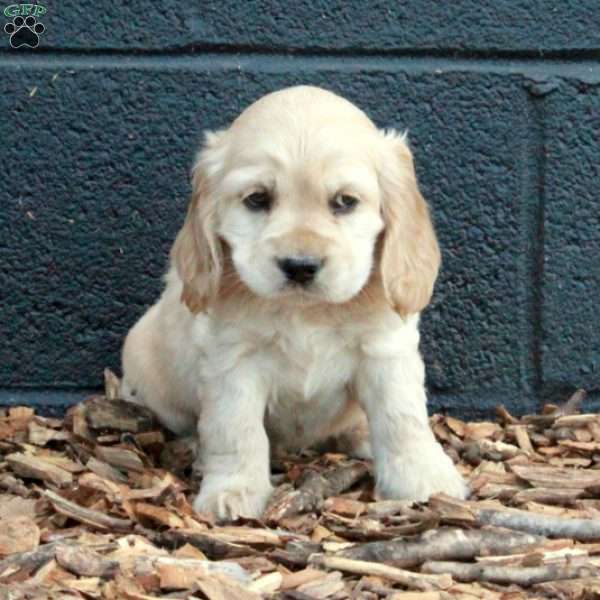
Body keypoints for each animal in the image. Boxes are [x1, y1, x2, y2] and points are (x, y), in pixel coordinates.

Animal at [122, 84, 468, 520]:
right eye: (257, 199)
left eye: (345, 202)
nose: (300, 267)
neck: (307, 313)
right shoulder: (231, 363)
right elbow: (236, 430)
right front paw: (232, 490)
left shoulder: (386, 351)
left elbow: (402, 418)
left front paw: (424, 478)